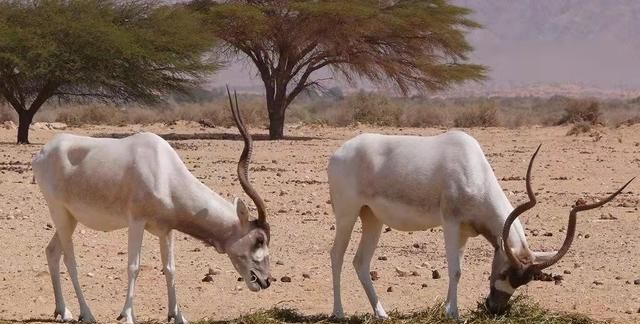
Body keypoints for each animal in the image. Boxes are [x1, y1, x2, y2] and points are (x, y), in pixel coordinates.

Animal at [31, 89, 270, 324]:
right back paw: (86, 313)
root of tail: (41, 153)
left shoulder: (167, 229)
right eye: (259, 239)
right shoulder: (136, 222)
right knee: (69, 260)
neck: (164, 171)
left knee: (52, 252)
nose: (266, 281)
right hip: (59, 212)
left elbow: (170, 268)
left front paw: (177, 315)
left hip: (70, 218)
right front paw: (127, 315)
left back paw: (63, 311)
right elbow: (133, 266)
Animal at [328, 131, 632, 318]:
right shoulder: (451, 223)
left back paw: (381, 313)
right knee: (337, 255)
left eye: (523, 282)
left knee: (361, 261)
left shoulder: (464, 231)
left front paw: (448, 308)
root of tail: (339, 153)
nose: (494, 308)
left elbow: (457, 269)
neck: (472, 168)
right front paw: (453, 313)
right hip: (347, 214)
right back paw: (339, 313)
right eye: (504, 273)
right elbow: (455, 270)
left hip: (372, 218)